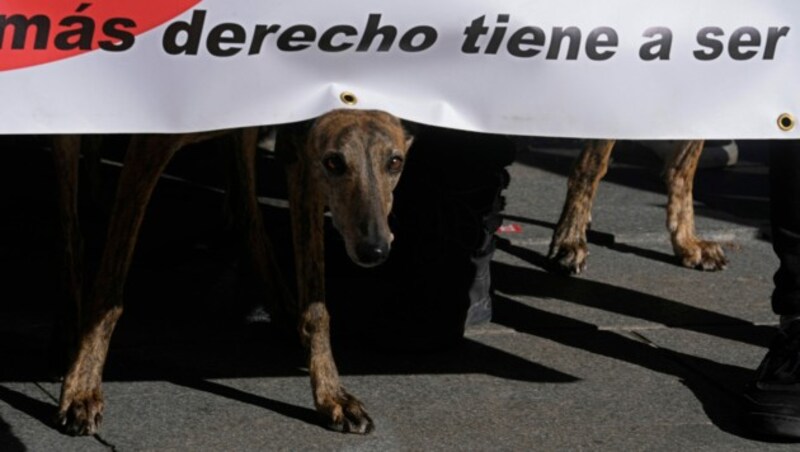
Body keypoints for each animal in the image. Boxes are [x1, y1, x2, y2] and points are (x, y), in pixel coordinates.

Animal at [54, 108, 412, 434]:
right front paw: (82, 388)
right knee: (72, 229)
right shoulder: (147, 150)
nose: (374, 249)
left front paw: (331, 396)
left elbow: (316, 307)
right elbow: (107, 292)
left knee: (246, 212)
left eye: (395, 162)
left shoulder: (302, 155)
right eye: (335, 162)